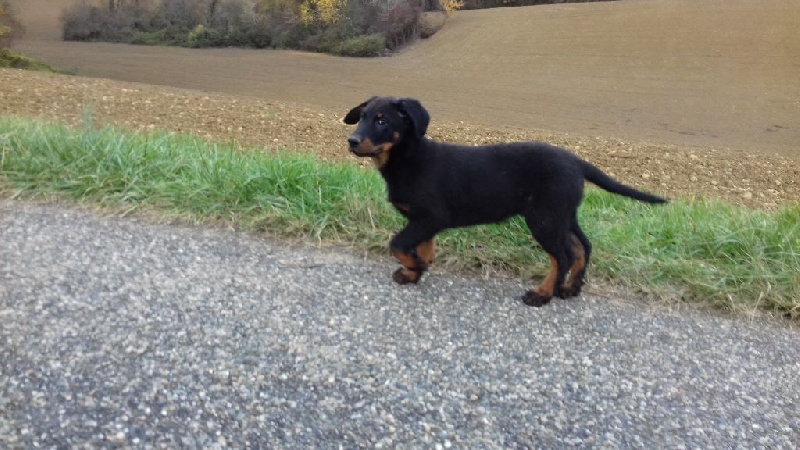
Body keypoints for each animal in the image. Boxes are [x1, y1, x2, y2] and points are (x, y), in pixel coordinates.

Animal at [344, 96, 667, 306]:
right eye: (362, 117)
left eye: (382, 120)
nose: (352, 141)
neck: (407, 158)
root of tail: (576, 161)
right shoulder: (422, 222)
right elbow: (422, 247)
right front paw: (415, 272)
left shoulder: (431, 217)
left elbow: (398, 244)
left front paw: (417, 267)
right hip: (562, 214)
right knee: (581, 248)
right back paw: (571, 289)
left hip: (543, 218)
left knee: (562, 256)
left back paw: (543, 294)